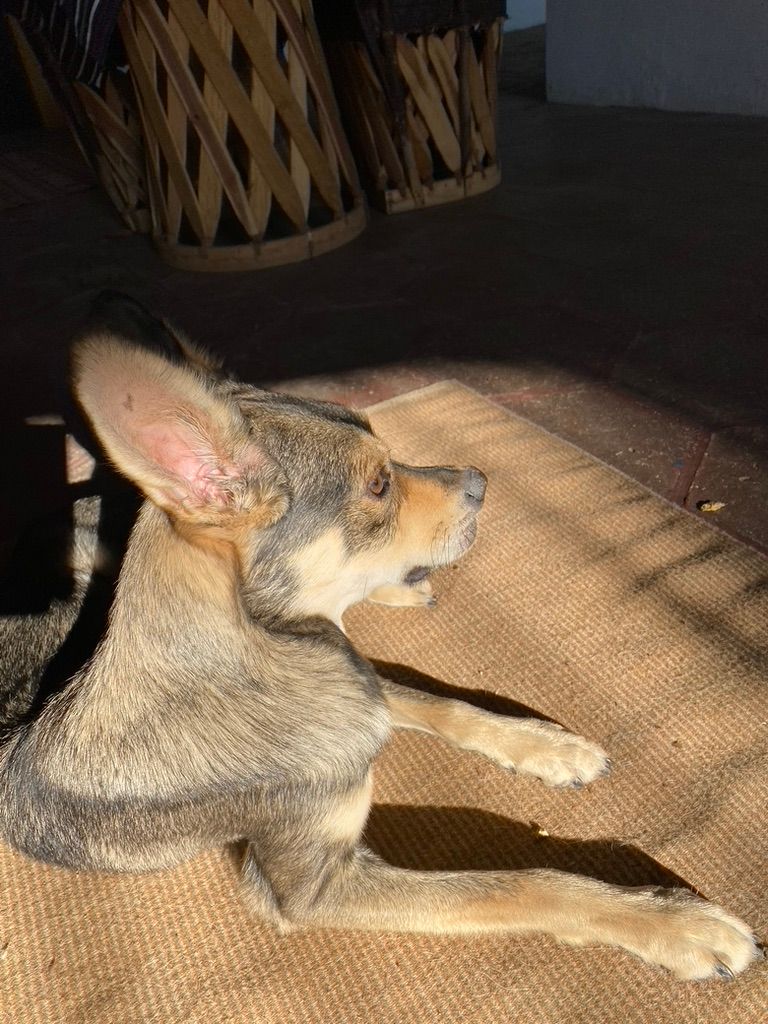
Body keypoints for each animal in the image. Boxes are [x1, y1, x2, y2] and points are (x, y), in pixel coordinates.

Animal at [0, 294, 761, 974]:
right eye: (377, 487)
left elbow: (444, 704)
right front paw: (673, 923)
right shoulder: (312, 888)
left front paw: (547, 746)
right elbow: (515, 885)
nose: (480, 480)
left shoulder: (357, 682)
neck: (273, 650)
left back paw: (404, 588)